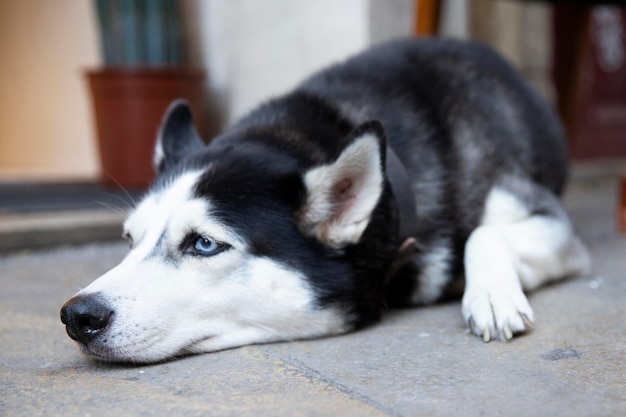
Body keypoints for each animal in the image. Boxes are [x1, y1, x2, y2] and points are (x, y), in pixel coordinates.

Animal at [61, 39, 588, 364]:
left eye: (204, 244)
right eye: (130, 239)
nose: (77, 316)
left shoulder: (550, 220)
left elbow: (484, 231)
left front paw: (493, 296)